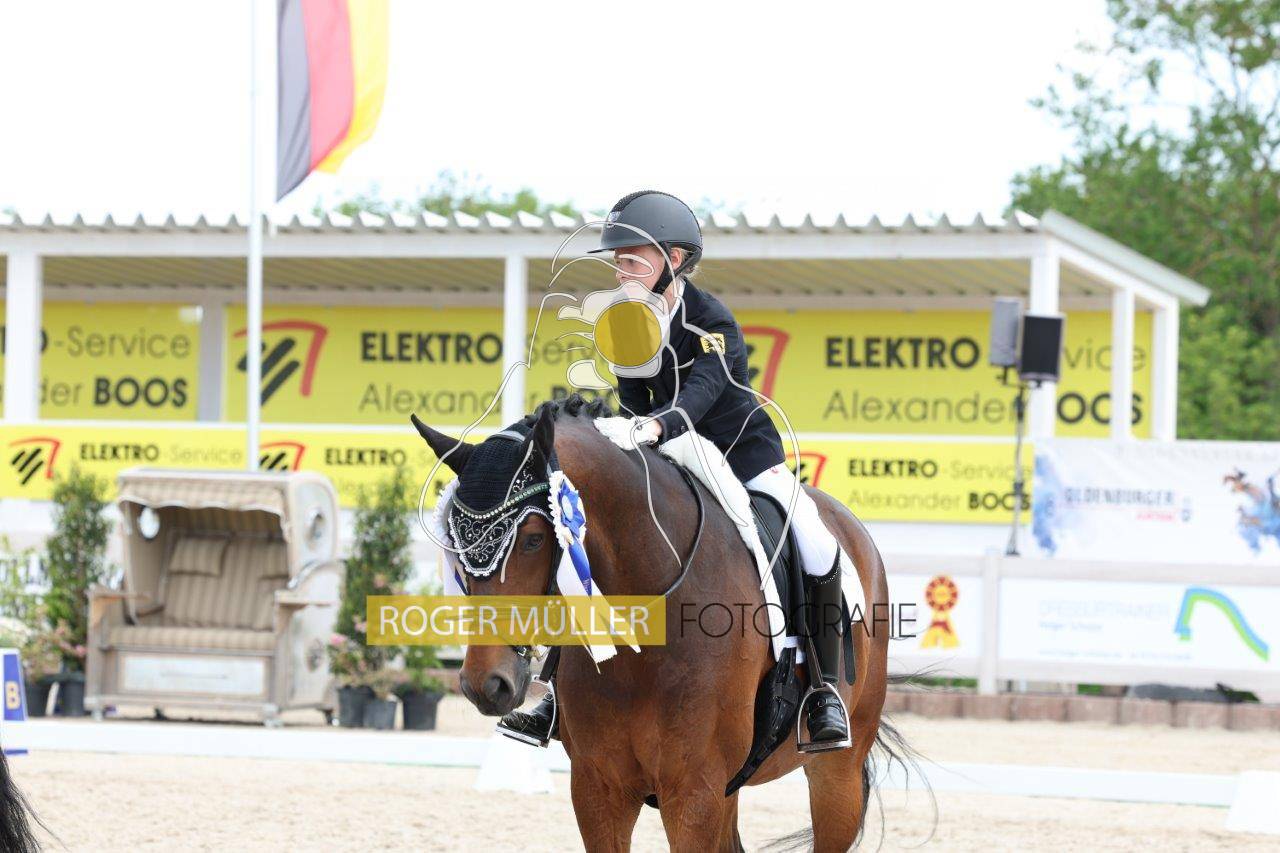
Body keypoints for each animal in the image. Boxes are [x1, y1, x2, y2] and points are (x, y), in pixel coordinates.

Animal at [415, 395, 895, 851]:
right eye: (453, 543)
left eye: (533, 539)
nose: (485, 684)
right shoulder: (598, 789)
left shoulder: (694, 792)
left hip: (837, 772)